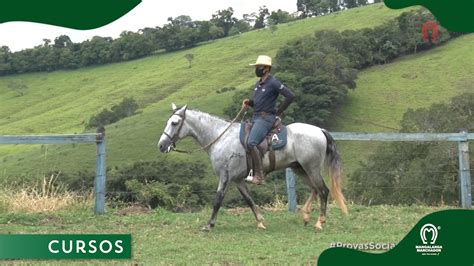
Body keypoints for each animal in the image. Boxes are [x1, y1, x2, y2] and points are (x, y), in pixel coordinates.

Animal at [157, 104, 346, 231]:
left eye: (174, 123)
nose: (162, 145)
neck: (221, 138)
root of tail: (320, 130)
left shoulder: (225, 176)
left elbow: (217, 200)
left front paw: (209, 225)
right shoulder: (238, 180)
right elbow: (248, 199)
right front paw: (260, 221)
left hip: (311, 168)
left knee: (323, 191)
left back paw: (319, 222)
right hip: (299, 169)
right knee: (315, 189)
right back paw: (306, 216)